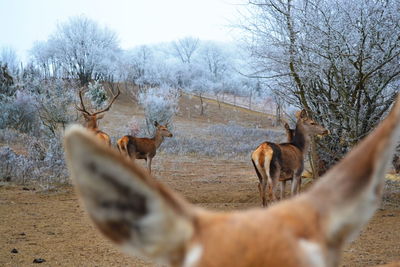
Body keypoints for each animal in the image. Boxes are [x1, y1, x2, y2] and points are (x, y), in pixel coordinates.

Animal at [64, 96, 398, 267]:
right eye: (313, 121)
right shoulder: (294, 174)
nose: (327, 130)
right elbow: (290, 198)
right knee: (269, 192)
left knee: (262, 191)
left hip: (258, 171)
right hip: (272, 172)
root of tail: (261, 150)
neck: (300, 148)